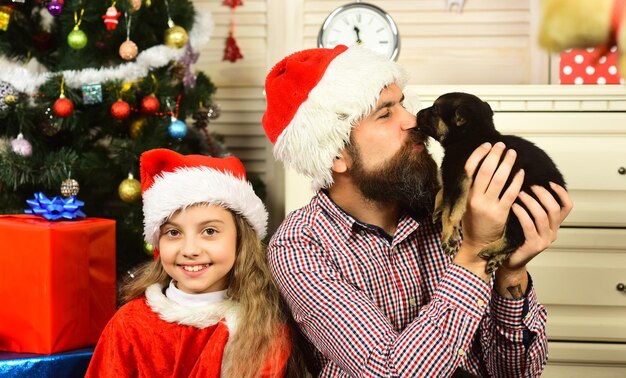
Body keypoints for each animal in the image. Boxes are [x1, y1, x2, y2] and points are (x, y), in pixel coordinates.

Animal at [414, 92, 564, 274]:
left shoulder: (457, 175)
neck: (472, 136)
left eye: (435, 110)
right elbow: (442, 193)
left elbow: (450, 212)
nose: (416, 114)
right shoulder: (454, 177)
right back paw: (496, 259)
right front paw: (438, 208)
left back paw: (490, 249)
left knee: (515, 237)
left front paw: (448, 236)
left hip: (520, 204)